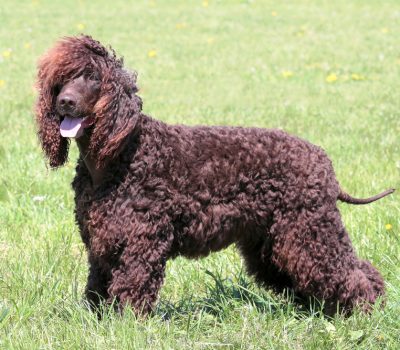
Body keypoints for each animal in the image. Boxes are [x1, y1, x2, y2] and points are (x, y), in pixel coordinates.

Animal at [35, 37, 394, 316]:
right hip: (272, 243)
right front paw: (98, 321)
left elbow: (131, 288)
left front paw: (127, 325)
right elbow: (97, 287)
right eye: (61, 80)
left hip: (309, 231)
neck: (115, 158)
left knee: (352, 272)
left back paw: (366, 311)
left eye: (93, 78)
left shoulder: (141, 243)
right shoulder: (101, 242)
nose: (65, 101)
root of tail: (323, 162)